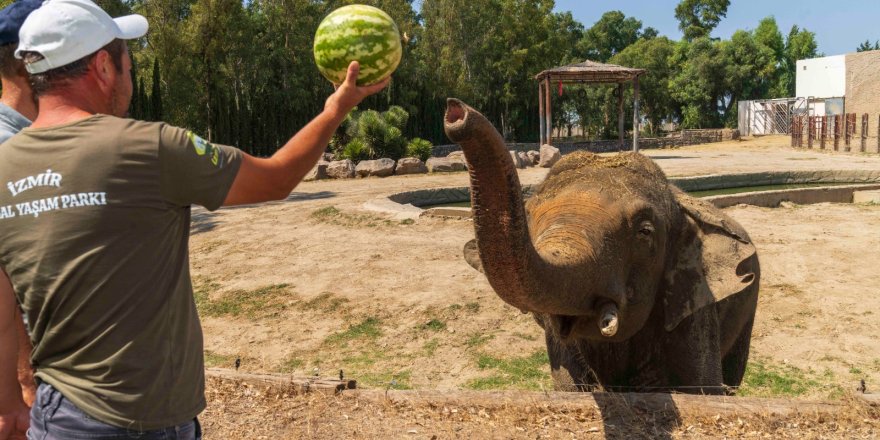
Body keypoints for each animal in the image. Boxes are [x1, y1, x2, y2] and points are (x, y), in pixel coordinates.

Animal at [444, 99, 760, 396]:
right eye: (529, 218)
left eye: (645, 232)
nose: (455, 112)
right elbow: (569, 385)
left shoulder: (693, 306)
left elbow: (703, 388)